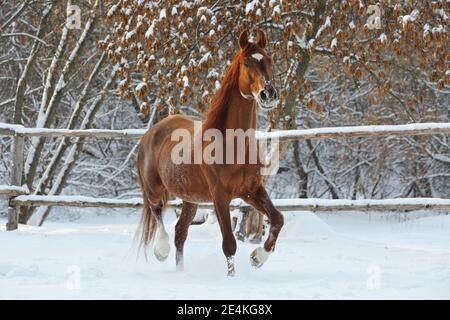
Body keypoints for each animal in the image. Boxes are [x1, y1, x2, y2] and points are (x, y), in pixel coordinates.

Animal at [137, 30, 284, 276]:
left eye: (269, 60)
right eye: (246, 63)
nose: (268, 94)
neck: (232, 145)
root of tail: (151, 133)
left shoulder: (251, 191)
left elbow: (277, 219)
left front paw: (257, 258)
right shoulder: (220, 196)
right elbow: (229, 244)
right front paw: (232, 277)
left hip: (190, 199)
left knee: (180, 233)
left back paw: (180, 271)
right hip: (154, 189)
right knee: (157, 213)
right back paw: (161, 251)